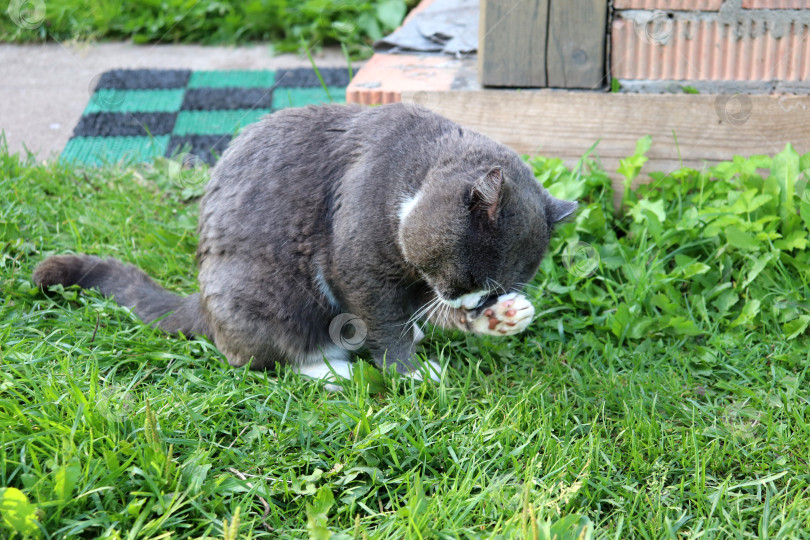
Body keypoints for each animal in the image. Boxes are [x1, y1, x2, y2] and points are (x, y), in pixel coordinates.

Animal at [31, 103, 576, 384]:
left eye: (494, 289)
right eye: (471, 278)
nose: (477, 303)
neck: (415, 175)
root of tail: (201, 301)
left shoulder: (420, 283)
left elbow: (421, 312)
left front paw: (504, 317)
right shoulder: (361, 268)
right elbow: (385, 322)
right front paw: (412, 373)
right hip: (264, 294)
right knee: (262, 356)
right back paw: (334, 370)